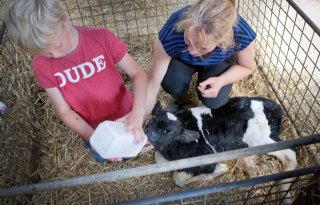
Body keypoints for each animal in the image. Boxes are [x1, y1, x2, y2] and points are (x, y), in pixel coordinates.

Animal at [145, 97, 298, 202]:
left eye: (169, 131)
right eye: (153, 118)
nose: (148, 131)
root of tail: (276, 107)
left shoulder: (206, 159)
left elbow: (179, 178)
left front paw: (220, 169)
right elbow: (158, 159)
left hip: (262, 140)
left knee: (291, 154)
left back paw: (285, 190)